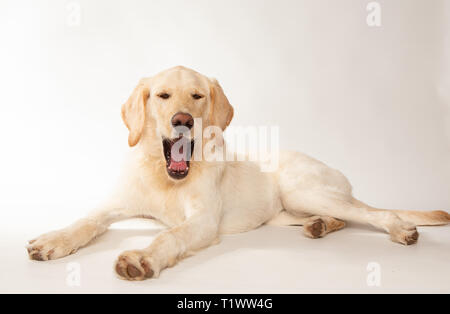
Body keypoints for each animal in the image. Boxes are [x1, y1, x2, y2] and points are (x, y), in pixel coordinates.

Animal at [28, 65, 450, 280]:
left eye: (197, 96)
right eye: (162, 96)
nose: (183, 120)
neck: (167, 179)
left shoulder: (202, 222)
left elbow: (170, 235)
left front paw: (142, 257)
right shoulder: (114, 204)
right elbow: (85, 221)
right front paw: (53, 240)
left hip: (303, 190)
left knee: (372, 213)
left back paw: (401, 229)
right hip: (286, 211)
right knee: (340, 218)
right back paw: (319, 226)